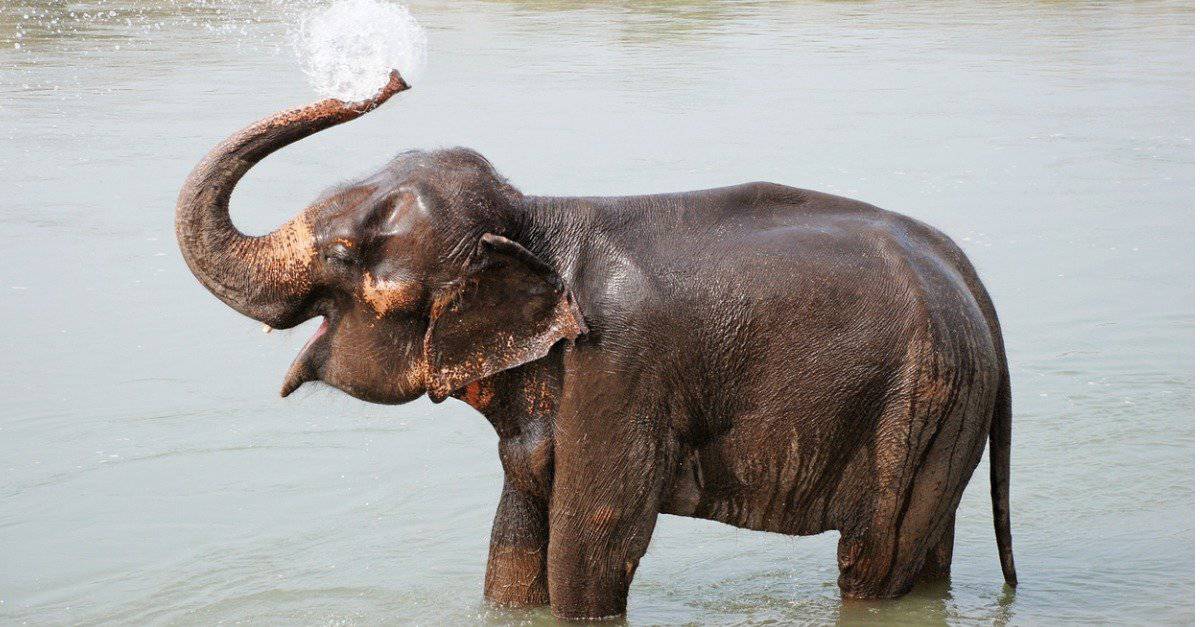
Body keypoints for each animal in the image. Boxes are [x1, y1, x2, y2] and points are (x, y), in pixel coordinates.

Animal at [175, 72, 1012, 614]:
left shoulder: (620, 368)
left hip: (915, 400)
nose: (394, 76)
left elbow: (592, 543)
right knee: (926, 552)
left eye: (349, 255)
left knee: (873, 560)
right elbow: (516, 536)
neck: (536, 219)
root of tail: (977, 286)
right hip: (948, 410)